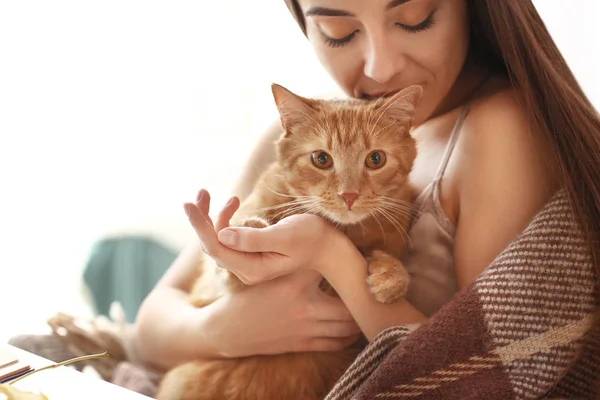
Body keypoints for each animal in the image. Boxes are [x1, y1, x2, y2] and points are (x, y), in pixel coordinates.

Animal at [156, 83, 422, 400]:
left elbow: (381, 253)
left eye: (375, 159)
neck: (345, 230)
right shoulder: (219, 280)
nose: (349, 195)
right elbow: (230, 259)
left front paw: (392, 276)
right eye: (322, 159)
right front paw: (249, 224)